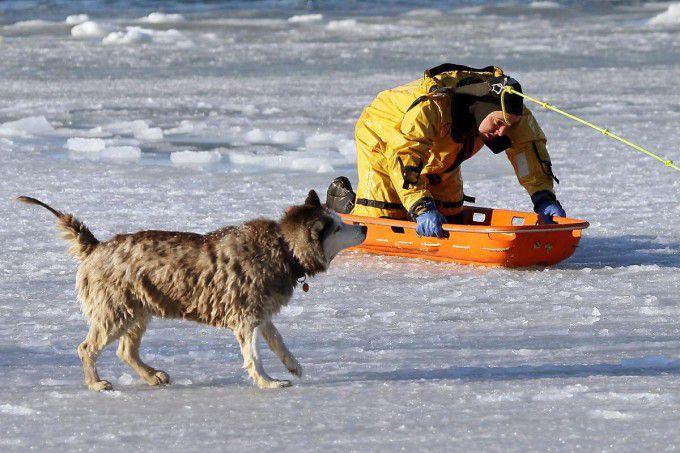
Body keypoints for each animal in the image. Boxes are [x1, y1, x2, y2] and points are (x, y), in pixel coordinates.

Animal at [17, 189, 366, 390]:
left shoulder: (261, 313)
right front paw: (267, 382)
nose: (362, 226)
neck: (284, 248)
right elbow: (254, 356)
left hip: (138, 310)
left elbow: (279, 342)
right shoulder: (245, 316)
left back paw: (151, 376)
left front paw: (293, 366)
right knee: (87, 348)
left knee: (125, 350)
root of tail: (95, 246)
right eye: (339, 227)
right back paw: (96, 383)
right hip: (114, 310)